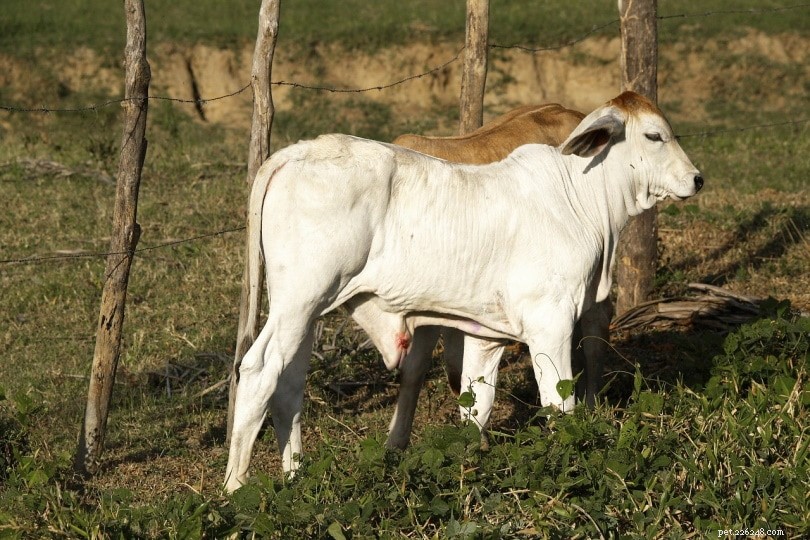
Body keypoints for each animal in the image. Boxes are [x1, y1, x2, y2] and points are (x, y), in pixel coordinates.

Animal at [225, 91, 703, 492]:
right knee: (258, 370)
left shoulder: (485, 334)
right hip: (299, 302)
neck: (580, 196)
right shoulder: (549, 322)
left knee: (288, 384)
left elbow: (477, 403)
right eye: (654, 135)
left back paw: (295, 476)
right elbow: (557, 402)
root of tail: (294, 153)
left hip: (305, 311)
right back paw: (235, 487)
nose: (697, 179)